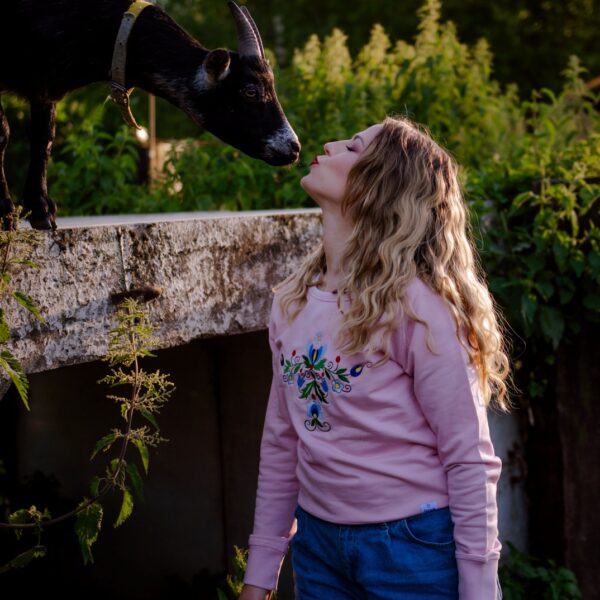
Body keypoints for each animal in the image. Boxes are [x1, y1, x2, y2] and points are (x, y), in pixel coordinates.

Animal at [0, 0, 301, 231]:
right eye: (250, 91)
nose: (294, 146)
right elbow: (3, 132)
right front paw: (6, 214)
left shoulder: (44, 83)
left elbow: (44, 137)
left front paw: (41, 211)